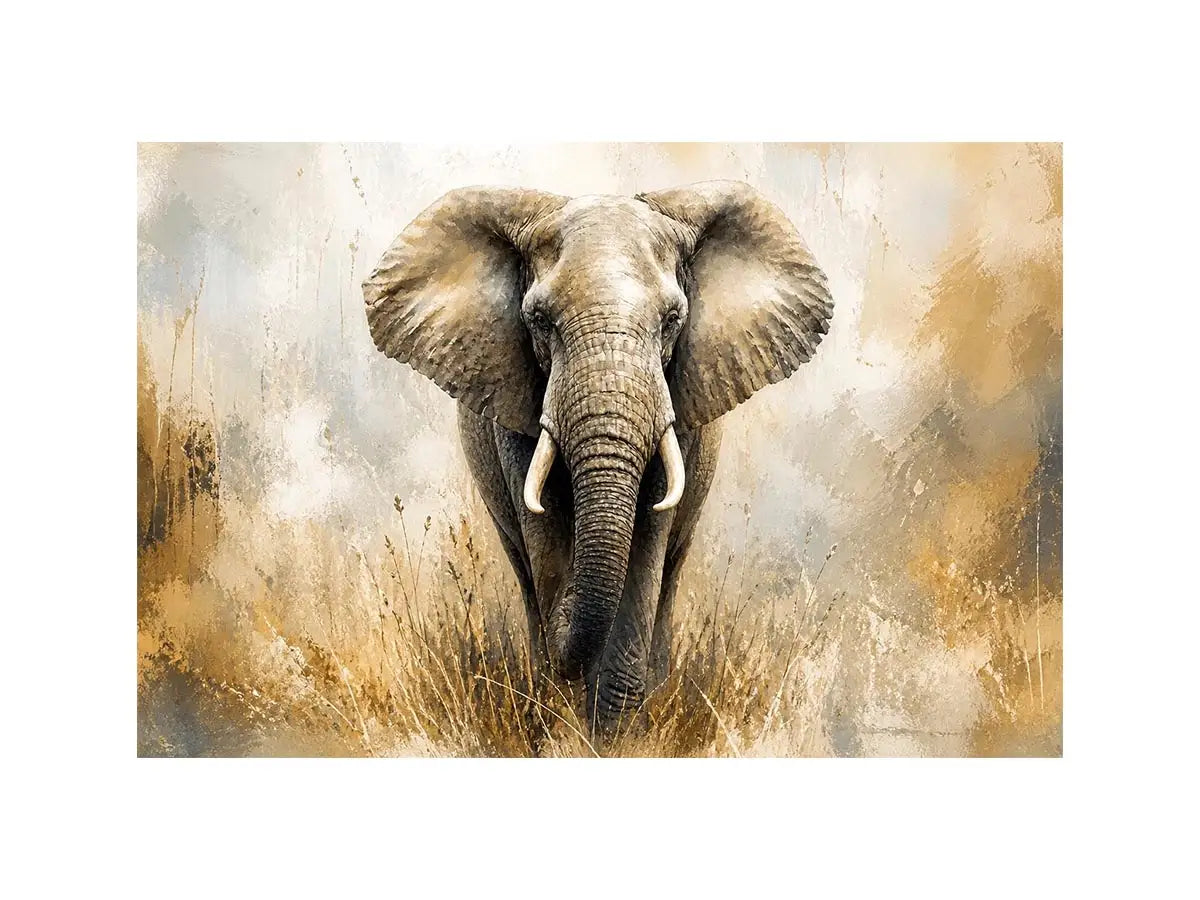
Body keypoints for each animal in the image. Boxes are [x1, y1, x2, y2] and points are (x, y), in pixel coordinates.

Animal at [363, 181, 833, 743]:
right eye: (539, 320)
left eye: (672, 320)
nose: (567, 605)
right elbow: (543, 532)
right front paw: (561, 731)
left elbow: (648, 540)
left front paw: (619, 739)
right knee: (525, 569)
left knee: (669, 572)